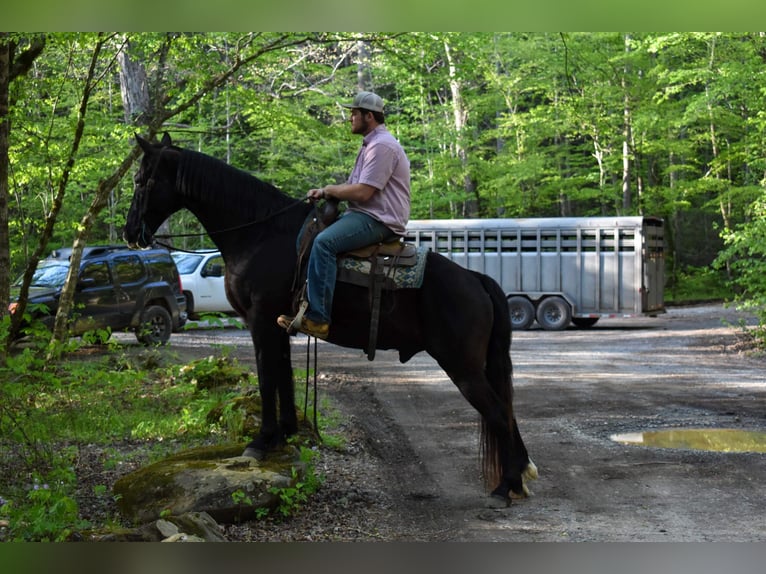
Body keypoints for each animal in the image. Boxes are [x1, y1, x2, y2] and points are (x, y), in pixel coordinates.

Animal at [123, 133, 536, 502]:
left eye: (141, 180)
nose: (129, 232)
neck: (260, 234)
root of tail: (476, 279)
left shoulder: (259, 321)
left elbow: (267, 378)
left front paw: (260, 442)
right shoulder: (279, 326)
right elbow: (284, 377)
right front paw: (286, 435)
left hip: (461, 365)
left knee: (498, 412)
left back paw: (503, 488)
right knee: (506, 410)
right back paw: (519, 477)